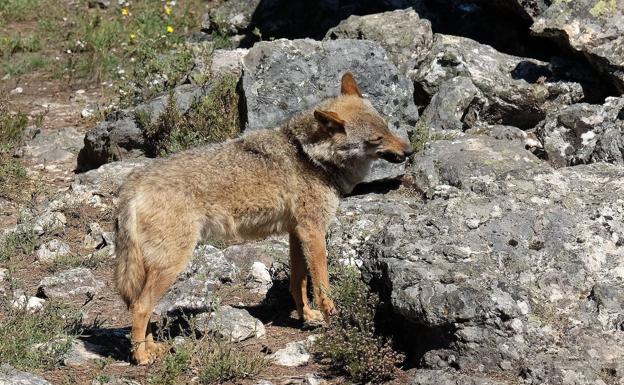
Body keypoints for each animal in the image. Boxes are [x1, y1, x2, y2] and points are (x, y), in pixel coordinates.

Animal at [115, 73, 414, 364]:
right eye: (376, 139)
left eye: (388, 128)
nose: (409, 151)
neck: (310, 157)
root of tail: (131, 184)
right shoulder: (314, 231)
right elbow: (322, 285)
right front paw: (333, 318)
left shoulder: (296, 232)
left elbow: (298, 283)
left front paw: (307, 316)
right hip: (171, 265)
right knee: (140, 307)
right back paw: (141, 356)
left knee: (140, 306)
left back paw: (151, 348)